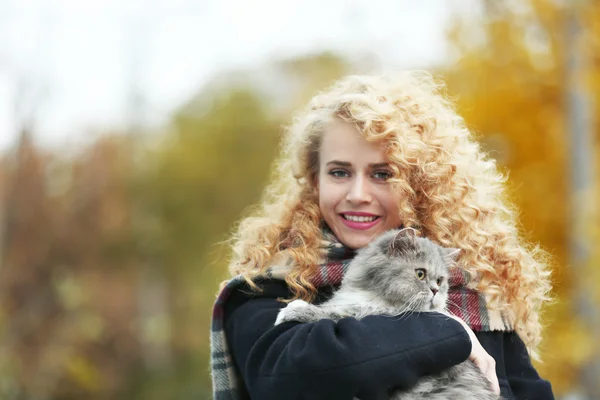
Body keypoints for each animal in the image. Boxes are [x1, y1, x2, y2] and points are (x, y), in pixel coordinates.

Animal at [274, 228, 500, 400]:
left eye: (440, 281)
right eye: (420, 274)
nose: (436, 291)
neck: (375, 298)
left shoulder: (365, 315)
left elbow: (327, 313)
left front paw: (291, 310)